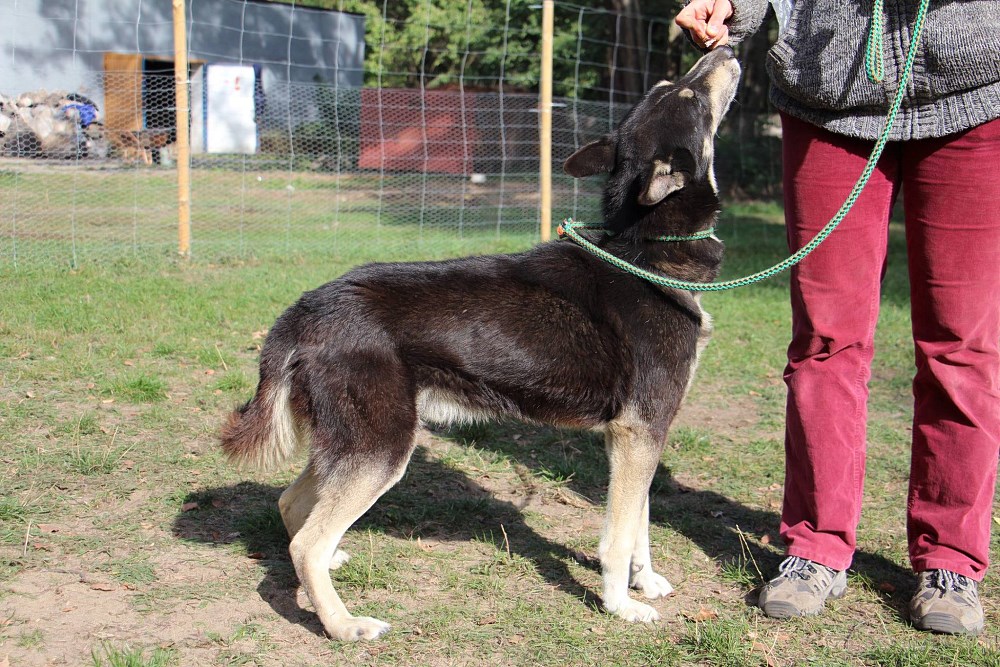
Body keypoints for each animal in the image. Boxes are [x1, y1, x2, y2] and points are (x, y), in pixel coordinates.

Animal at [221, 47, 741, 641]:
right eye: (688, 95)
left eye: (672, 87)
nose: (725, 48)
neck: (643, 250)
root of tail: (305, 310)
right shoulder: (640, 433)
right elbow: (617, 535)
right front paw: (620, 606)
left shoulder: (636, 438)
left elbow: (640, 525)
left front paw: (646, 582)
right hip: (381, 450)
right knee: (307, 540)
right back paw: (343, 624)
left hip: (353, 443)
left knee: (291, 505)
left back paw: (330, 569)